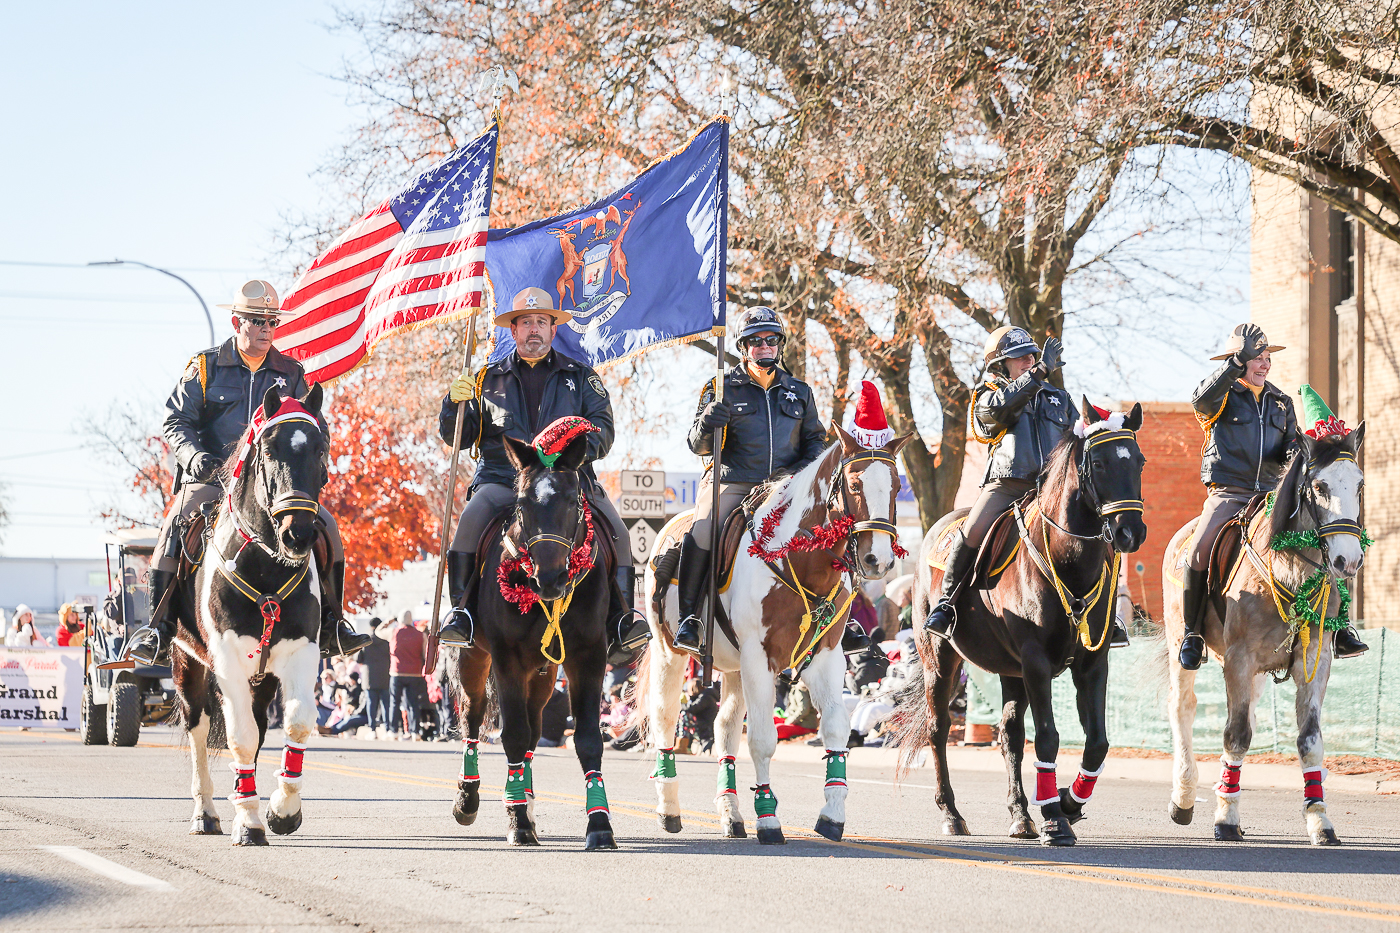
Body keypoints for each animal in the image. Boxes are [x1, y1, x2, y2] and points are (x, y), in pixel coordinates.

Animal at [170, 385, 331, 846]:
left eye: (320, 448)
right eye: (270, 449)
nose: (298, 533)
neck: (265, 567)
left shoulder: (301, 653)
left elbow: (296, 725)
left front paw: (282, 810)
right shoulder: (226, 661)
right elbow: (240, 738)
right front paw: (250, 822)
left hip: (261, 679)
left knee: (259, 727)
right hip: (187, 665)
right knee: (199, 731)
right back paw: (205, 814)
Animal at [446, 419, 618, 849]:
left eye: (573, 501)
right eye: (522, 504)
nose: (550, 578)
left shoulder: (588, 657)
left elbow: (586, 738)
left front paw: (599, 824)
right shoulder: (506, 659)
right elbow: (512, 734)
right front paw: (518, 821)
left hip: (543, 675)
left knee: (535, 729)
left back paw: (525, 798)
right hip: (476, 659)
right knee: (473, 718)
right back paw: (469, 799)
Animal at [636, 426, 911, 844]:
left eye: (896, 485)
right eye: (854, 484)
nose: (878, 559)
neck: (796, 558)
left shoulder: (826, 657)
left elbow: (835, 727)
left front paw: (832, 814)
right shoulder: (758, 658)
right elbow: (764, 740)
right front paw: (767, 818)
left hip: (733, 669)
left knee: (724, 728)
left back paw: (732, 815)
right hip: (672, 653)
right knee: (665, 718)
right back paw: (669, 810)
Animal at [888, 399, 1147, 846]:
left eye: (1140, 462)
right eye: (1098, 462)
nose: (1131, 532)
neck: (1067, 561)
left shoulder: (1092, 663)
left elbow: (1096, 742)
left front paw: (1068, 803)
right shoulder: (1036, 661)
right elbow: (1048, 736)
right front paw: (1055, 820)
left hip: (1010, 672)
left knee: (1009, 735)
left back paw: (1021, 815)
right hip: (940, 659)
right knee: (938, 730)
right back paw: (952, 813)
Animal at [1161, 425, 1366, 845]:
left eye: (1360, 484)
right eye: (1319, 486)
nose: (1349, 560)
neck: (1289, 567)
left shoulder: (1315, 660)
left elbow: (1309, 741)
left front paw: (1320, 821)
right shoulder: (1238, 659)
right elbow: (1236, 735)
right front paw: (1226, 818)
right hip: (1181, 647)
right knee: (1183, 709)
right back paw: (1184, 798)